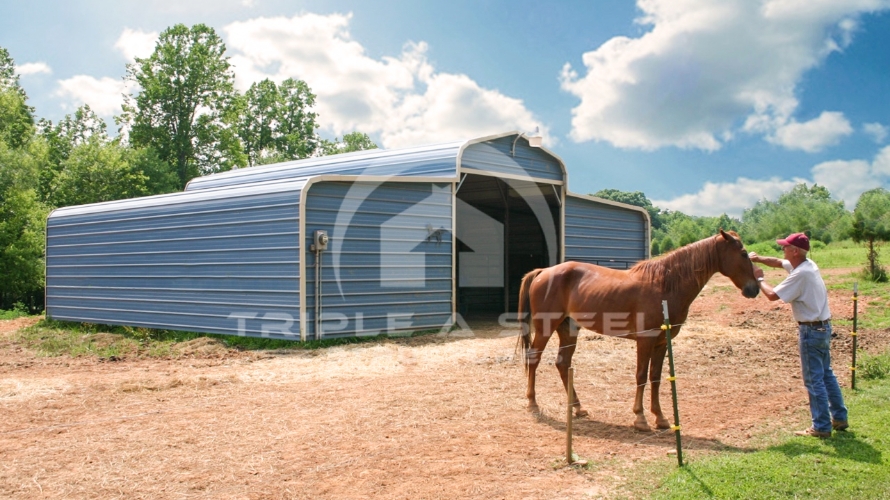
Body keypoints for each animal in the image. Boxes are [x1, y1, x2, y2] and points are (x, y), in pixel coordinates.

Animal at [520, 229, 756, 430]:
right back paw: (532, 403)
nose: (753, 289)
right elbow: (641, 375)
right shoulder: (646, 340)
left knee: (563, 364)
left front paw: (660, 418)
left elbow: (656, 377)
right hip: (546, 328)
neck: (665, 284)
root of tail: (544, 272)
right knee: (534, 358)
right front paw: (640, 418)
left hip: (568, 330)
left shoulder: (661, 343)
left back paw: (578, 408)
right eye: (744, 254)